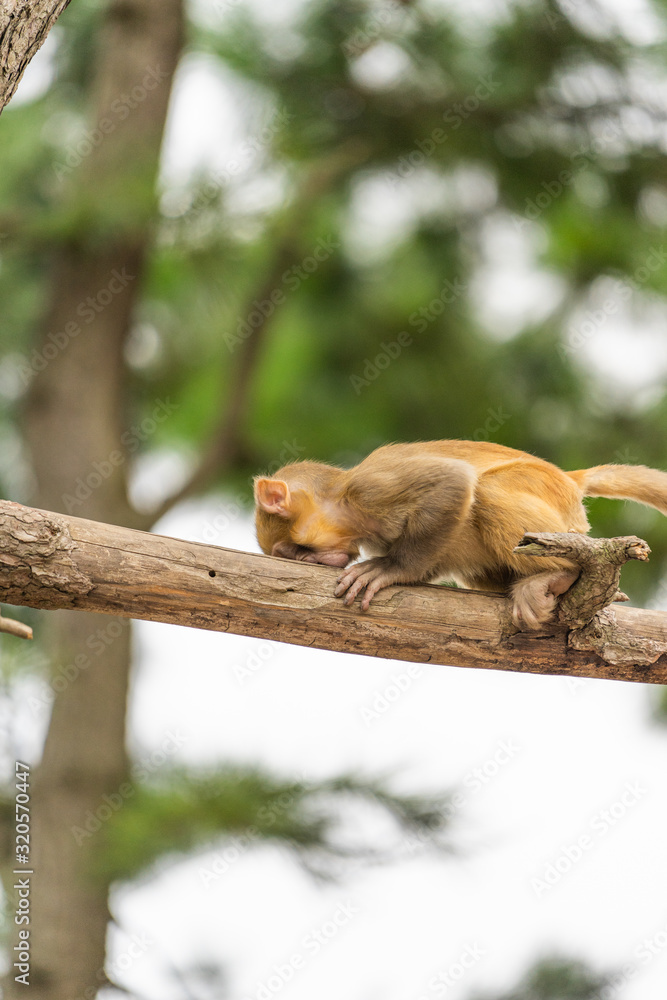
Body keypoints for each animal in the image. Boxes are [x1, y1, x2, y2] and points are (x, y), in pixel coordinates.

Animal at [254, 440, 667, 629]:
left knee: (488, 491)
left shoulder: (370, 489)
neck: (341, 501)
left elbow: (452, 482)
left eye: (294, 549)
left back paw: (560, 574)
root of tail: (567, 478)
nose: (308, 559)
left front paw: (391, 569)